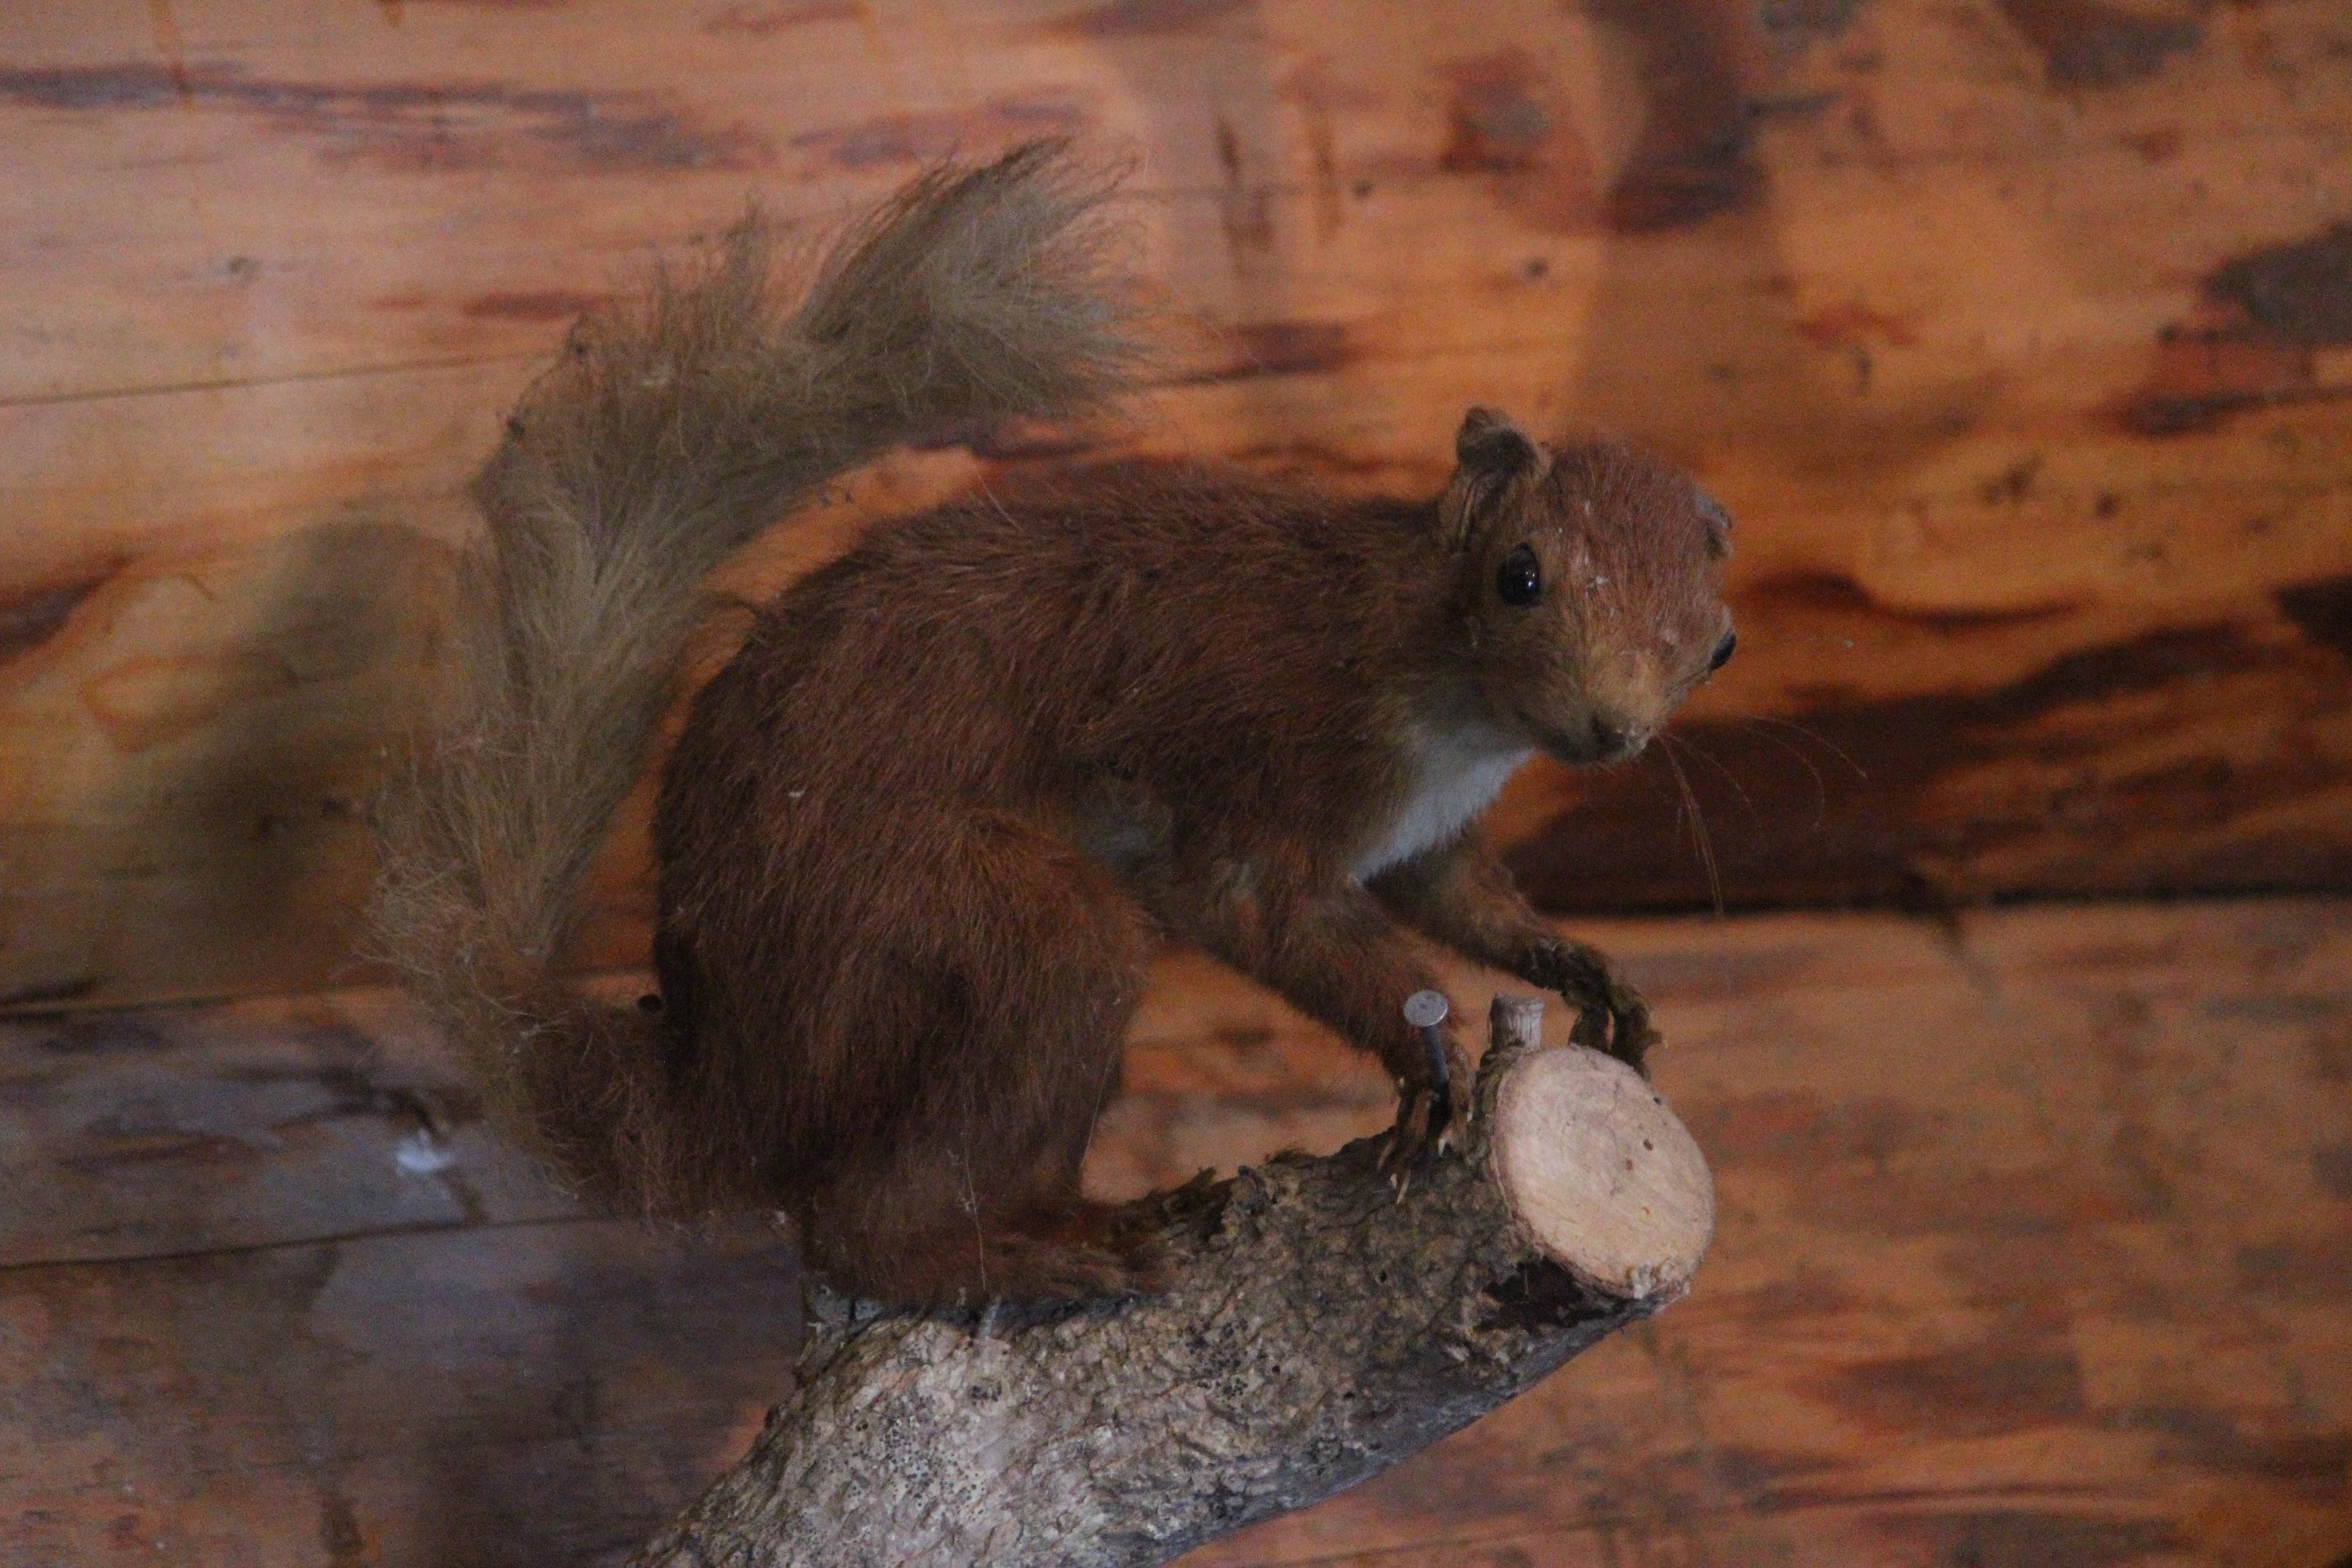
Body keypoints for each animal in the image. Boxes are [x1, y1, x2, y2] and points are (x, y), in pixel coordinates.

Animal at [375, 142, 1736, 1309]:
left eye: (1716, 643)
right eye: (1521, 575)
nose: (1611, 728)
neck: (1445, 706)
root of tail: (727, 1084)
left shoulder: (1427, 841)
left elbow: (1470, 904)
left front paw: (1592, 974)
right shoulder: (1270, 765)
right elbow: (1276, 914)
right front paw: (1427, 1056)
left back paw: (1098, 1216)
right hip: (971, 920)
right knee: (859, 1221)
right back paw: (1022, 1260)